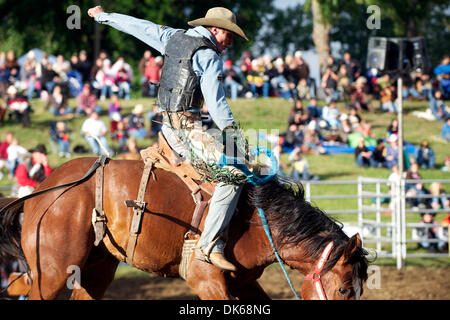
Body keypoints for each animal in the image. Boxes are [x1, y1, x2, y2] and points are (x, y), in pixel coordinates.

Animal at [0, 158, 370, 300]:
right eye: (343, 290)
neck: (256, 220)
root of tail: (43, 189)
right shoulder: (206, 280)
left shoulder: (244, 282)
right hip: (52, 272)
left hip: (96, 269)